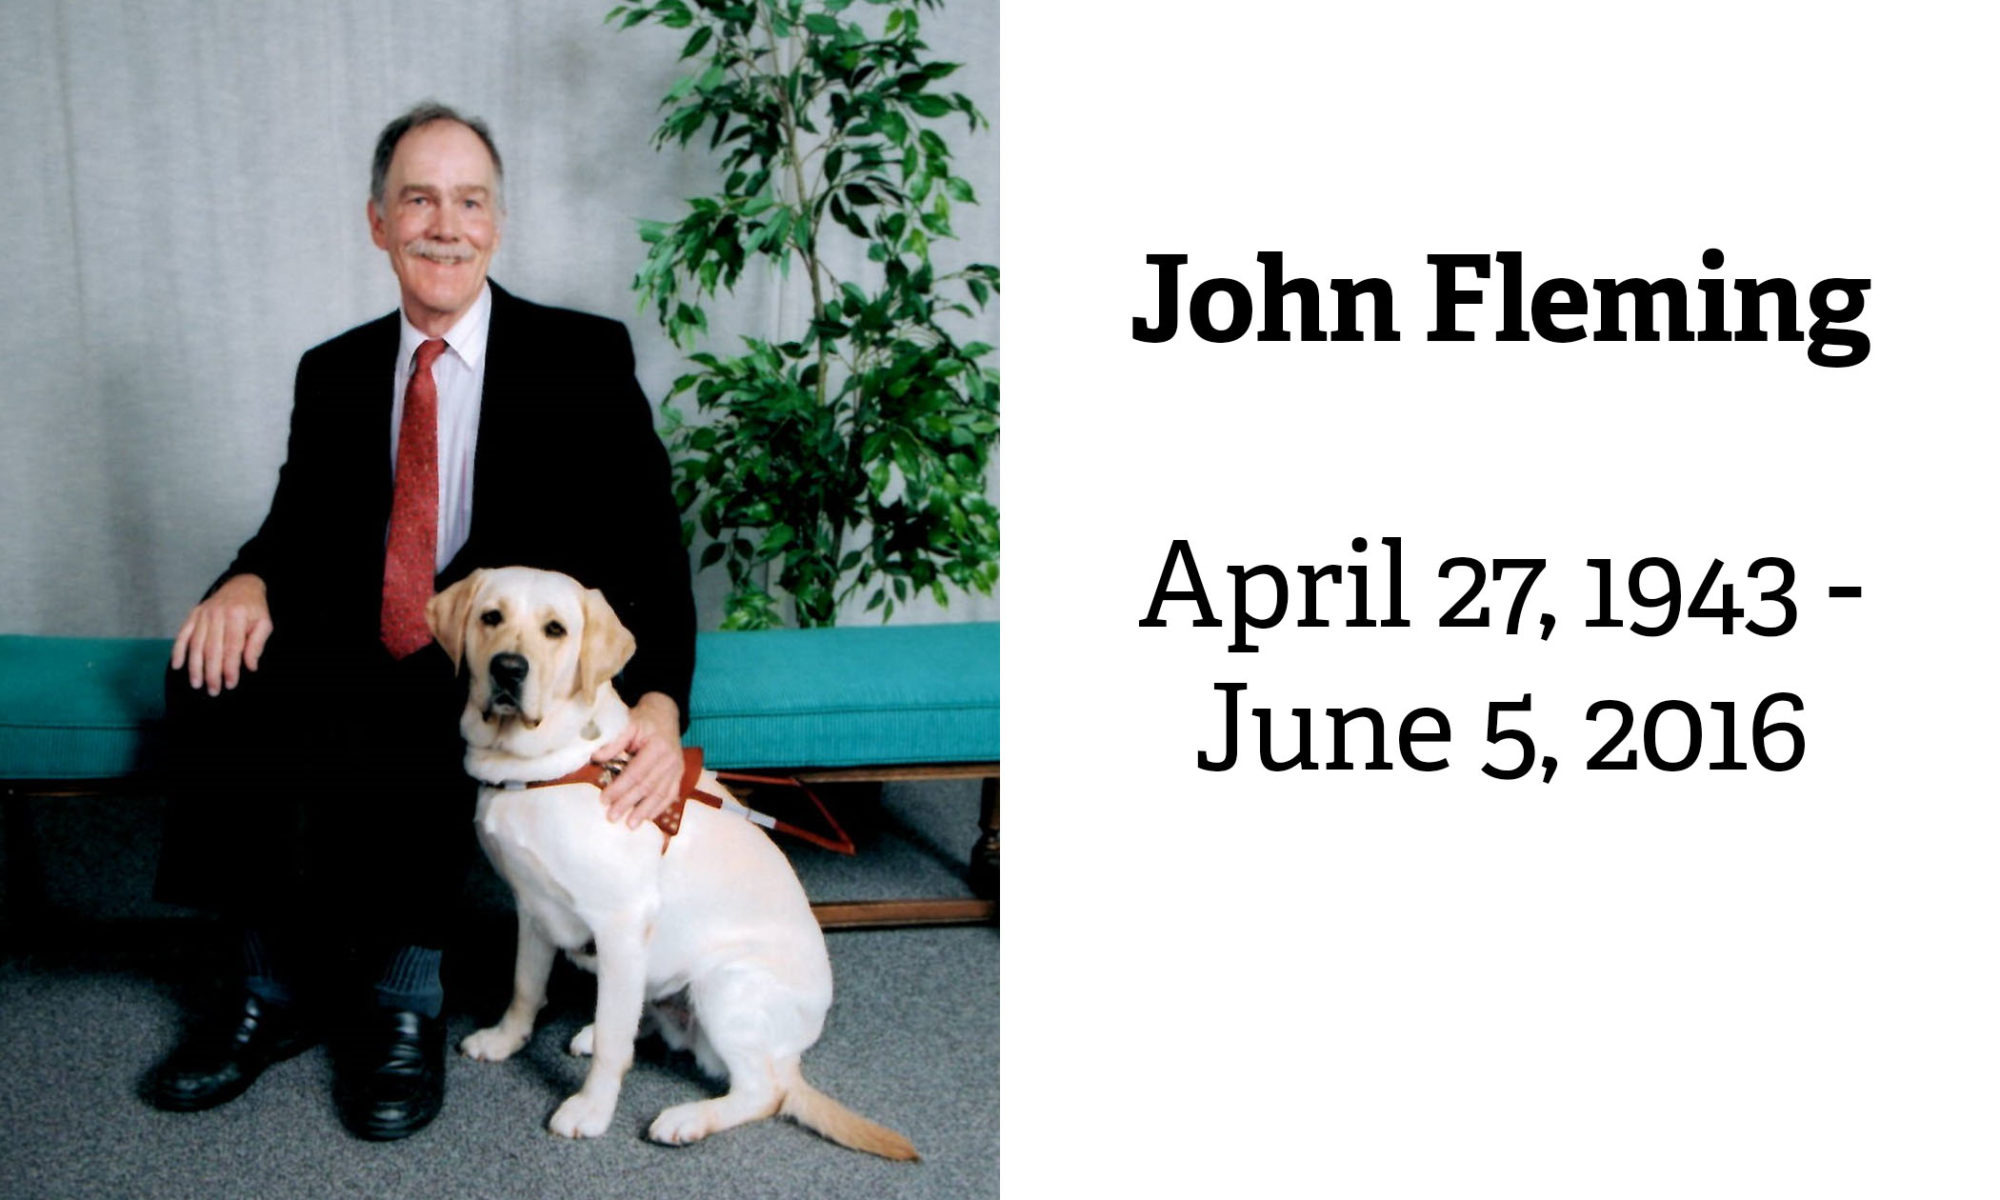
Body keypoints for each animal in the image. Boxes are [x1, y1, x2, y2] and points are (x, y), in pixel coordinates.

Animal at [430, 568, 920, 1160]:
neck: (547, 765)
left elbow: (614, 1042)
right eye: (491, 618)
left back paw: (688, 1118)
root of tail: (793, 1052)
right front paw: (505, 1040)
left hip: (724, 985)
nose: (508, 668)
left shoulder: (619, 924)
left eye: (555, 630)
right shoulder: (533, 907)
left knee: (763, 1091)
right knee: (640, 1017)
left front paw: (592, 1110)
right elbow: (525, 987)